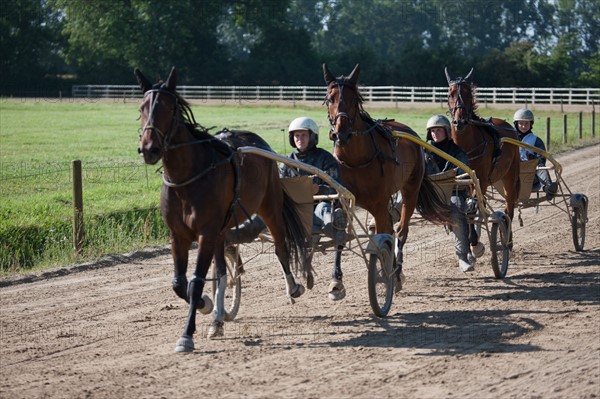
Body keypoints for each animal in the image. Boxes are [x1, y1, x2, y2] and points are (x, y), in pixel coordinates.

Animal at [135, 66, 312, 354]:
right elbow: (179, 283)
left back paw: (293, 287)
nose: (149, 149)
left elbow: (196, 282)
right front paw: (207, 306)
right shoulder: (179, 235)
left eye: (168, 108)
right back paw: (218, 319)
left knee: (280, 246)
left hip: (270, 206)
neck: (188, 178)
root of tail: (259, 142)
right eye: (142, 107)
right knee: (221, 271)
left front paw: (187, 334)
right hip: (222, 230)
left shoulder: (205, 233)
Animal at [322, 64, 452, 292]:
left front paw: (385, 275)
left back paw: (396, 272)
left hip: (411, 190)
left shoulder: (379, 204)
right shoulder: (342, 198)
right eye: (330, 98)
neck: (356, 160)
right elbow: (340, 235)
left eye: (354, 100)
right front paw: (336, 280)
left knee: (400, 230)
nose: (341, 134)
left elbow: (386, 236)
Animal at [446, 68, 520, 239]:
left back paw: (507, 236)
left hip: (510, 174)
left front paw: (473, 238)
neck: (467, 148)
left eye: (468, 93)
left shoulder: (482, 180)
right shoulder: (465, 181)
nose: (460, 121)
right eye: (450, 94)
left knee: (509, 206)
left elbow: (473, 208)